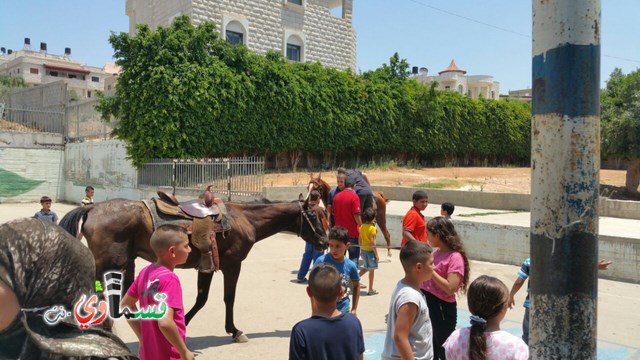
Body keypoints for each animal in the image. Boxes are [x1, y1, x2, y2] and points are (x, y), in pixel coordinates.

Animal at [58, 197, 328, 344]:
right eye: (315, 216)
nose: (325, 241)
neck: (244, 219)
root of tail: (92, 209)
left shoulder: (206, 266)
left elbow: (201, 298)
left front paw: (181, 325)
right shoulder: (232, 265)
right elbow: (228, 298)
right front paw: (235, 331)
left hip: (124, 263)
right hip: (110, 263)